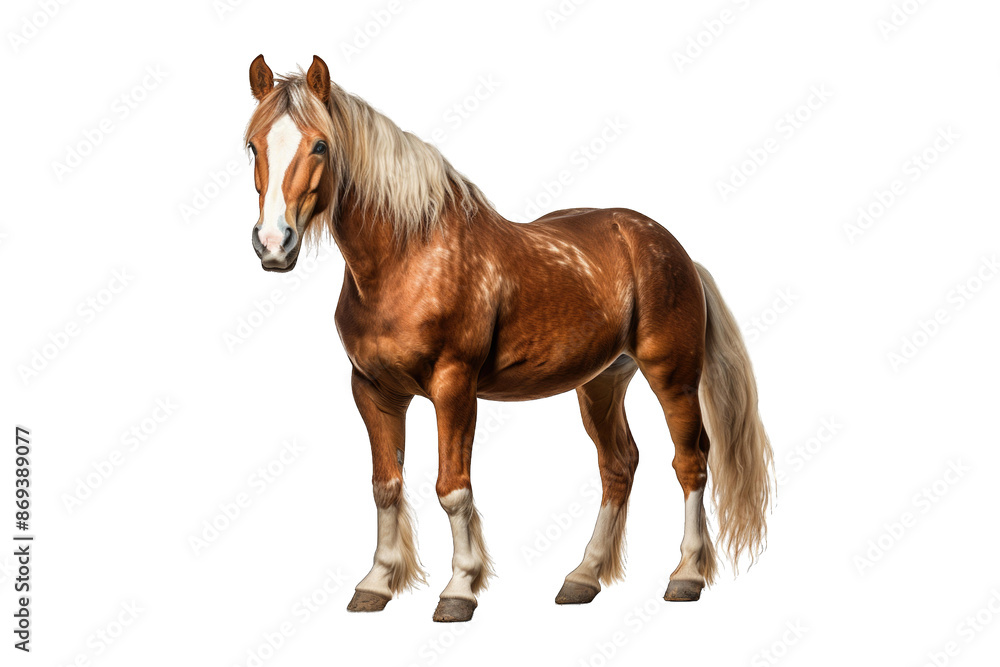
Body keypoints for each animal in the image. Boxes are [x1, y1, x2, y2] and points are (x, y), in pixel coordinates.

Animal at [242, 54, 773, 623]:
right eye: (252, 144)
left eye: (320, 145)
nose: (273, 243)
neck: (408, 257)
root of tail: (673, 248)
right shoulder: (372, 389)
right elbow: (385, 485)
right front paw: (378, 583)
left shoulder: (454, 387)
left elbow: (452, 489)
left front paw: (459, 589)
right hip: (601, 382)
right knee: (618, 465)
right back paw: (583, 576)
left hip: (672, 375)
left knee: (691, 462)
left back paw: (686, 575)